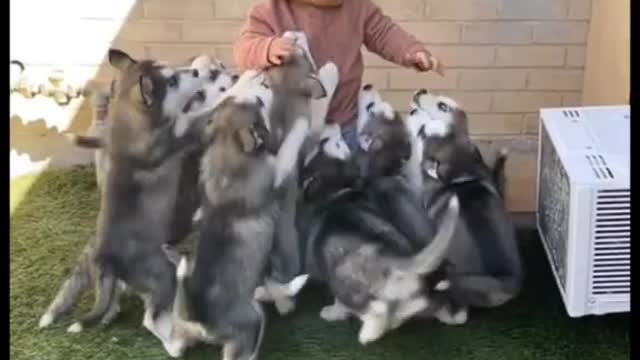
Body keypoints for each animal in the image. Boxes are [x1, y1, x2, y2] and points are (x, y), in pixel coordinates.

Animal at [169, 71, 282, 360]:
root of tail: (200, 317)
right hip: (250, 325)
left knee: (175, 348)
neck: (227, 148)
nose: (259, 73)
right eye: (258, 103)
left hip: (182, 329)